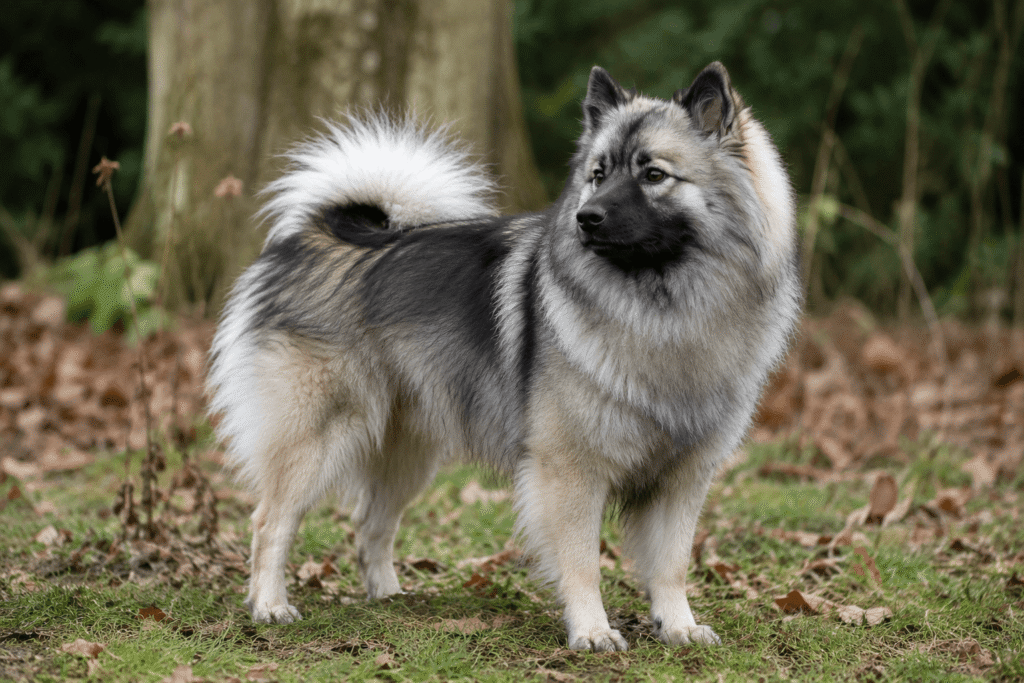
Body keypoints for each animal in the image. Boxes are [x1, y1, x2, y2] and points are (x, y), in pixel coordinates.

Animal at [207, 62, 800, 651]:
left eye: (653, 175)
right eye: (598, 174)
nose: (587, 217)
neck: (661, 309)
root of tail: (308, 236)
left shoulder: (684, 477)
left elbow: (671, 563)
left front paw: (678, 625)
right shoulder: (570, 470)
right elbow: (583, 561)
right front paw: (592, 631)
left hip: (408, 451)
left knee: (370, 522)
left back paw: (390, 597)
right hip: (317, 435)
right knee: (271, 521)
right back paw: (270, 605)